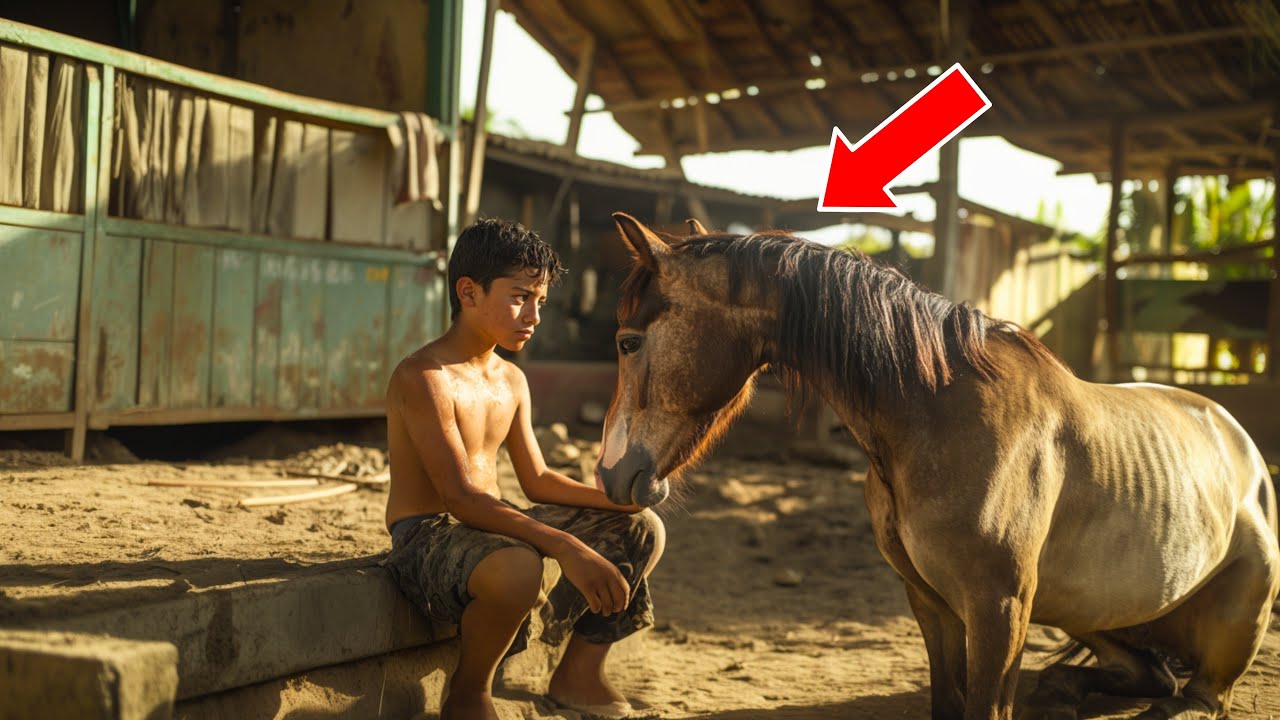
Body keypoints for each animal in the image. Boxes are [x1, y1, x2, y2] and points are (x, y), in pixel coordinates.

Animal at [594, 212, 1279, 720]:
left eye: (628, 341)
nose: (609, 474)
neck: (938, 418)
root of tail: (1238, 437)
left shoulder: (999, 608)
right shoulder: (930, 601)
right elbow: (948, 701)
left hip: (1238, 607)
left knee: (1196, 697)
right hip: (1081, 615)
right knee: (1153, 673)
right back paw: (1064, 689)